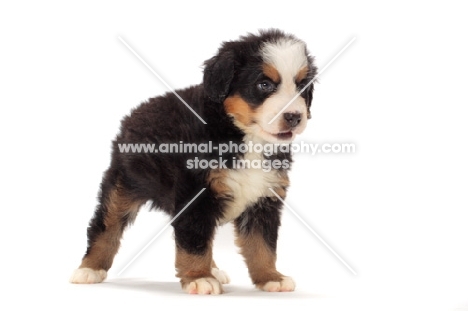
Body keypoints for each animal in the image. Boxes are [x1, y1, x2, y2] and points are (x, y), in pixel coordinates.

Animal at [69, 29, 318, 294]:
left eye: (302, 87)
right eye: (264, 84)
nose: (294, 117)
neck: (245, 138)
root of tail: (135, 113)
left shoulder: (264, 199)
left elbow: (263, 245)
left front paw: (271, 277)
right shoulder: (196, 194)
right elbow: (195, 242)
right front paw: (200, 278)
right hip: (124, 184)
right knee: (105, 226)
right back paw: (89, 268)